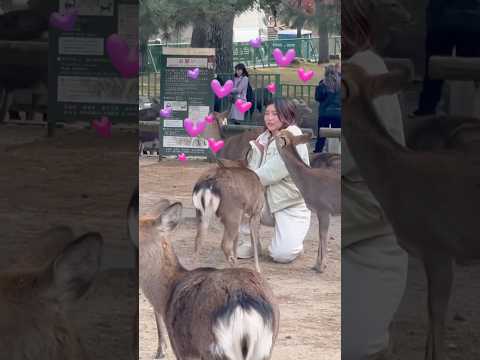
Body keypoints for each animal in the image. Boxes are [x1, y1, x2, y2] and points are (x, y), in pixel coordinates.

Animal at [274, 130, 342, 272]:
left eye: (280, 135)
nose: (273, 132)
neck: (308, 182)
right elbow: (320, 236)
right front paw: (316, 265)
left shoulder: (324, 208)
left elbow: (323, 235)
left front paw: (321, 267)